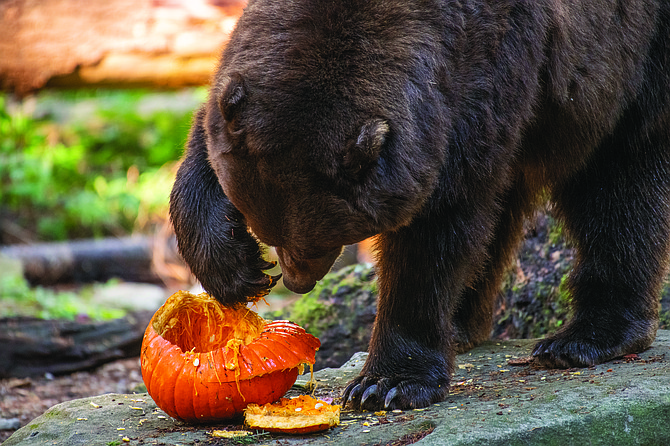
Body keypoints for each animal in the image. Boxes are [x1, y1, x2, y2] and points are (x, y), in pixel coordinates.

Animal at [172, 0, 670, 410]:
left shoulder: (483, 72)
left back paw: (584, 337)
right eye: (268, 231)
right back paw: (464, 325)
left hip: (634, 56)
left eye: (319, 239)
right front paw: (236, 268)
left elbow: (436, 232)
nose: (297, 281)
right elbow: (206, 145)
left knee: (622, 182)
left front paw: (387, 382)